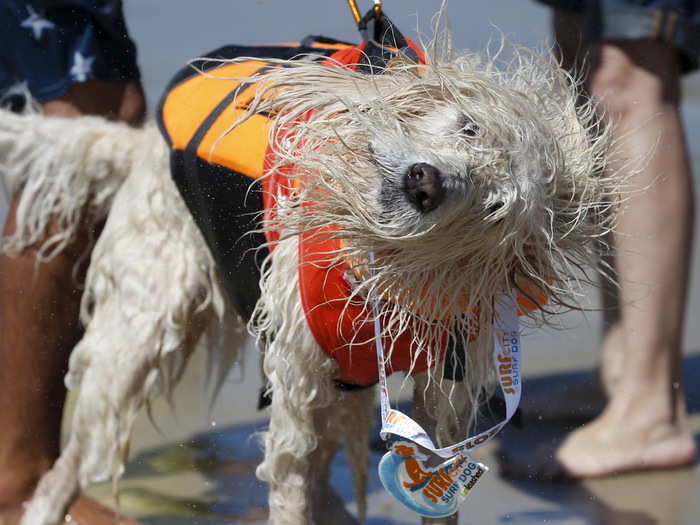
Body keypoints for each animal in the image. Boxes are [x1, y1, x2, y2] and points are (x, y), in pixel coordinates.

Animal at [2, 19, 620, 524]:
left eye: (496, 206)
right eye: (467, 128)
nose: (426, 182)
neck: (372, 267)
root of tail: (141, 148)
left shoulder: (444, 393)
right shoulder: (298, 388)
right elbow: (290, 488)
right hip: (141, 332)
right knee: (62, 471)